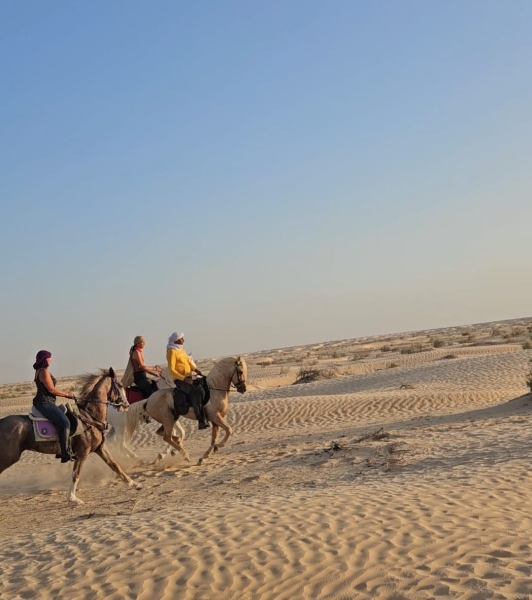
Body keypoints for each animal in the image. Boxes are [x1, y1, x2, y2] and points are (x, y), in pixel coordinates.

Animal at [0, 368, 141, 504]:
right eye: (120, 385)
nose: (126, 405)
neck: (89, 417)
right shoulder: (82, 453)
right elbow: (76, 474)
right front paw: (72, 498)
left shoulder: (99, 448)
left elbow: (114, 465)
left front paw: (134, 484)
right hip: (9, 457)